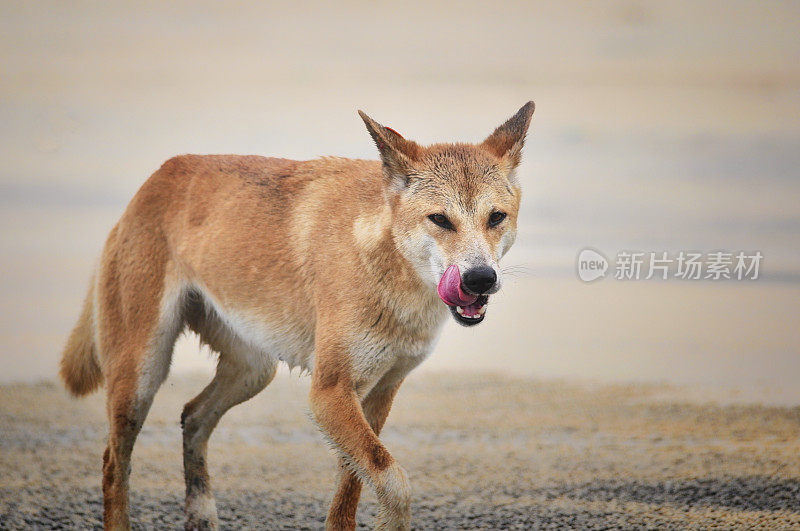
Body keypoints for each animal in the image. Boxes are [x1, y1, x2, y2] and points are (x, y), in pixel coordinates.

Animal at [59, 102, 536, 528]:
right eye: (440, 219)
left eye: (496, 217)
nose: (480, 278)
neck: (384, 266)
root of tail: (153, 179)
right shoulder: (329, 393)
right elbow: (395, 482)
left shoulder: (378, 394)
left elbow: (352, 491)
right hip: (141, 376)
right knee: (113, 465)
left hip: (253, 370)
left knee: (192, 417)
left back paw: (202, 514)